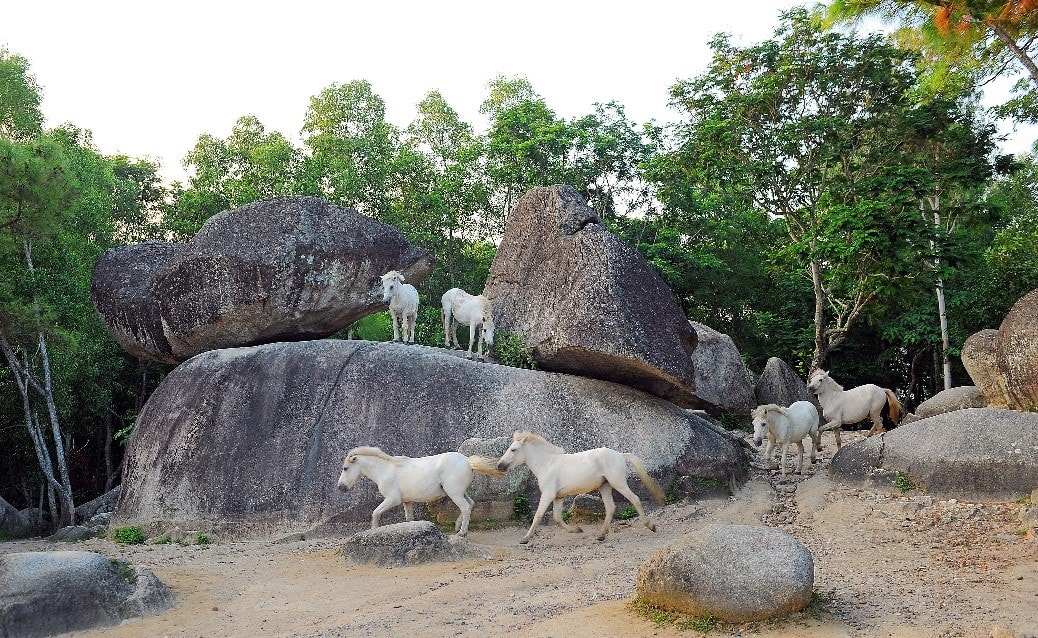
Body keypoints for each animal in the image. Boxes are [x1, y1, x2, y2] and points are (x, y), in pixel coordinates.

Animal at [336, 446, 502, 535]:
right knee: (471, 503)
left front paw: (374, 530)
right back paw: (456, 527)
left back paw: (462, 532)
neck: (385, 470)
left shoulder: (392, 499)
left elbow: (375, 513)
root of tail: (467, 461)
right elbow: (409, 519)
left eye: (345, 468)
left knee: (466, 507)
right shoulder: (407, 502)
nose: (340, 487)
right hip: (460, 492)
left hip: (454, 493)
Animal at [494, 429, 664, 543]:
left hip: (618, 483)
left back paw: (651, 526)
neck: (547, 464)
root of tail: (620, 455)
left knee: (635, 499)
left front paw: (525, 538)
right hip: (605, 486)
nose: (499, 466)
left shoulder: (548, 494)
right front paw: (577, 530)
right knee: (611, 508)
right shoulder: (558, 497)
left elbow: (538, 516)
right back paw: (601, 535)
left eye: (513, 449)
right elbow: (557, 518)